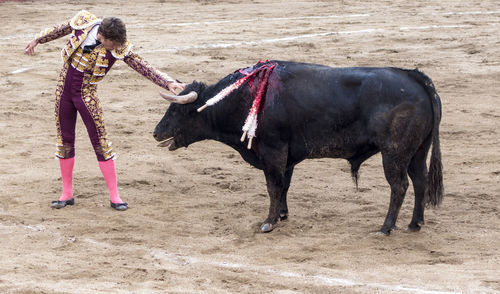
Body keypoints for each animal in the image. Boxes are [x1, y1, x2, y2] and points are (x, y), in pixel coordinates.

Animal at [154, 60, 444, 235]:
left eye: (178, 111)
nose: (156, 133)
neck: (246, 97)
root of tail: (415, 77)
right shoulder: (287, 157)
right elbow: (284, 185)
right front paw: (282, 215)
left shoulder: (272, 152)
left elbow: (273, 186)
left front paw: (268, 222)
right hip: (418, 151)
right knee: (419, 181)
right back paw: (414, 224)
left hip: (394, 153)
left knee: (400, 186)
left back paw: (385, 227)